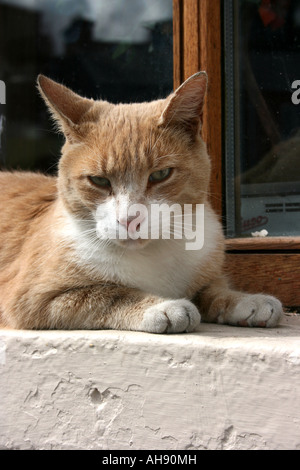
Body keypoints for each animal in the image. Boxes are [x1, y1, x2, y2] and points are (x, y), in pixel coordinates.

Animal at [0, 71, 284, 332]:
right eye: (99, 180)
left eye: (160, 174)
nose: (129, 219)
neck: (152, 253)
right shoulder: (34, 300)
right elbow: (108, 294)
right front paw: (164, 307)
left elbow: (214, 290)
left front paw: (247, 301)